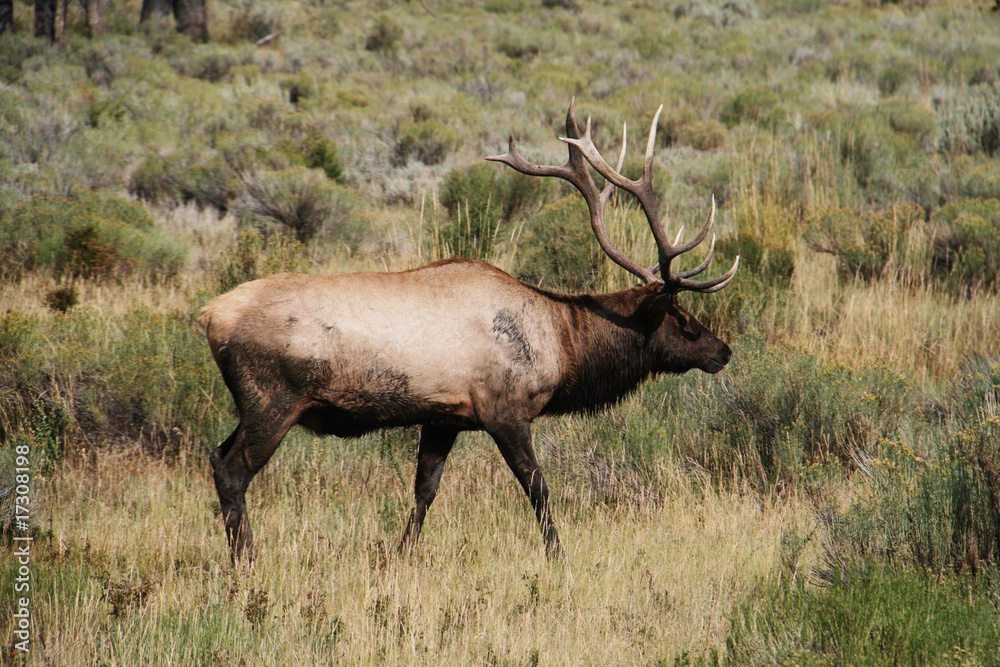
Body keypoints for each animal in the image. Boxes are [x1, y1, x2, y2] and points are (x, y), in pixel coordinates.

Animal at [198, 101, 739, 563]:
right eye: (682, 319)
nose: (724, 351)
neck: (561, 347)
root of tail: (208, 316)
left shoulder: (444, 416)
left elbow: (424, 490)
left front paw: (402, 555)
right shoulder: (505, 410)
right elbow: (538, 488)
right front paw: (559, 557)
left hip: (254, 405)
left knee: (216, 455)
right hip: (273, 400)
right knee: (232, 470)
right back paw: (245, 561)